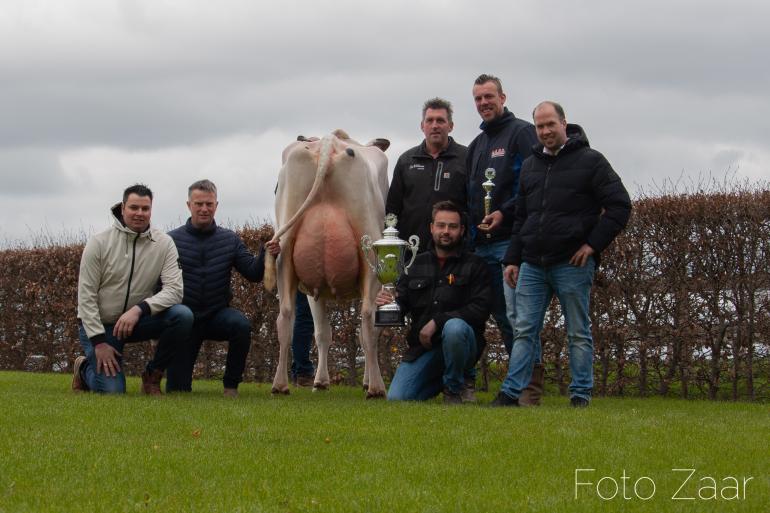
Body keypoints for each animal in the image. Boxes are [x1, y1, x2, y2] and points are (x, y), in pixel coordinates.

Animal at [266, 128, 390, 396]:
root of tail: (328, 143)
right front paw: (363, 381)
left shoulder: (314, 290)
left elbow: (322, 333)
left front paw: (321, 381)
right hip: (370, 258)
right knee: (367, 320)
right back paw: (376, 387)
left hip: (285, 255)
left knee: (285, 317)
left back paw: (280, 384)